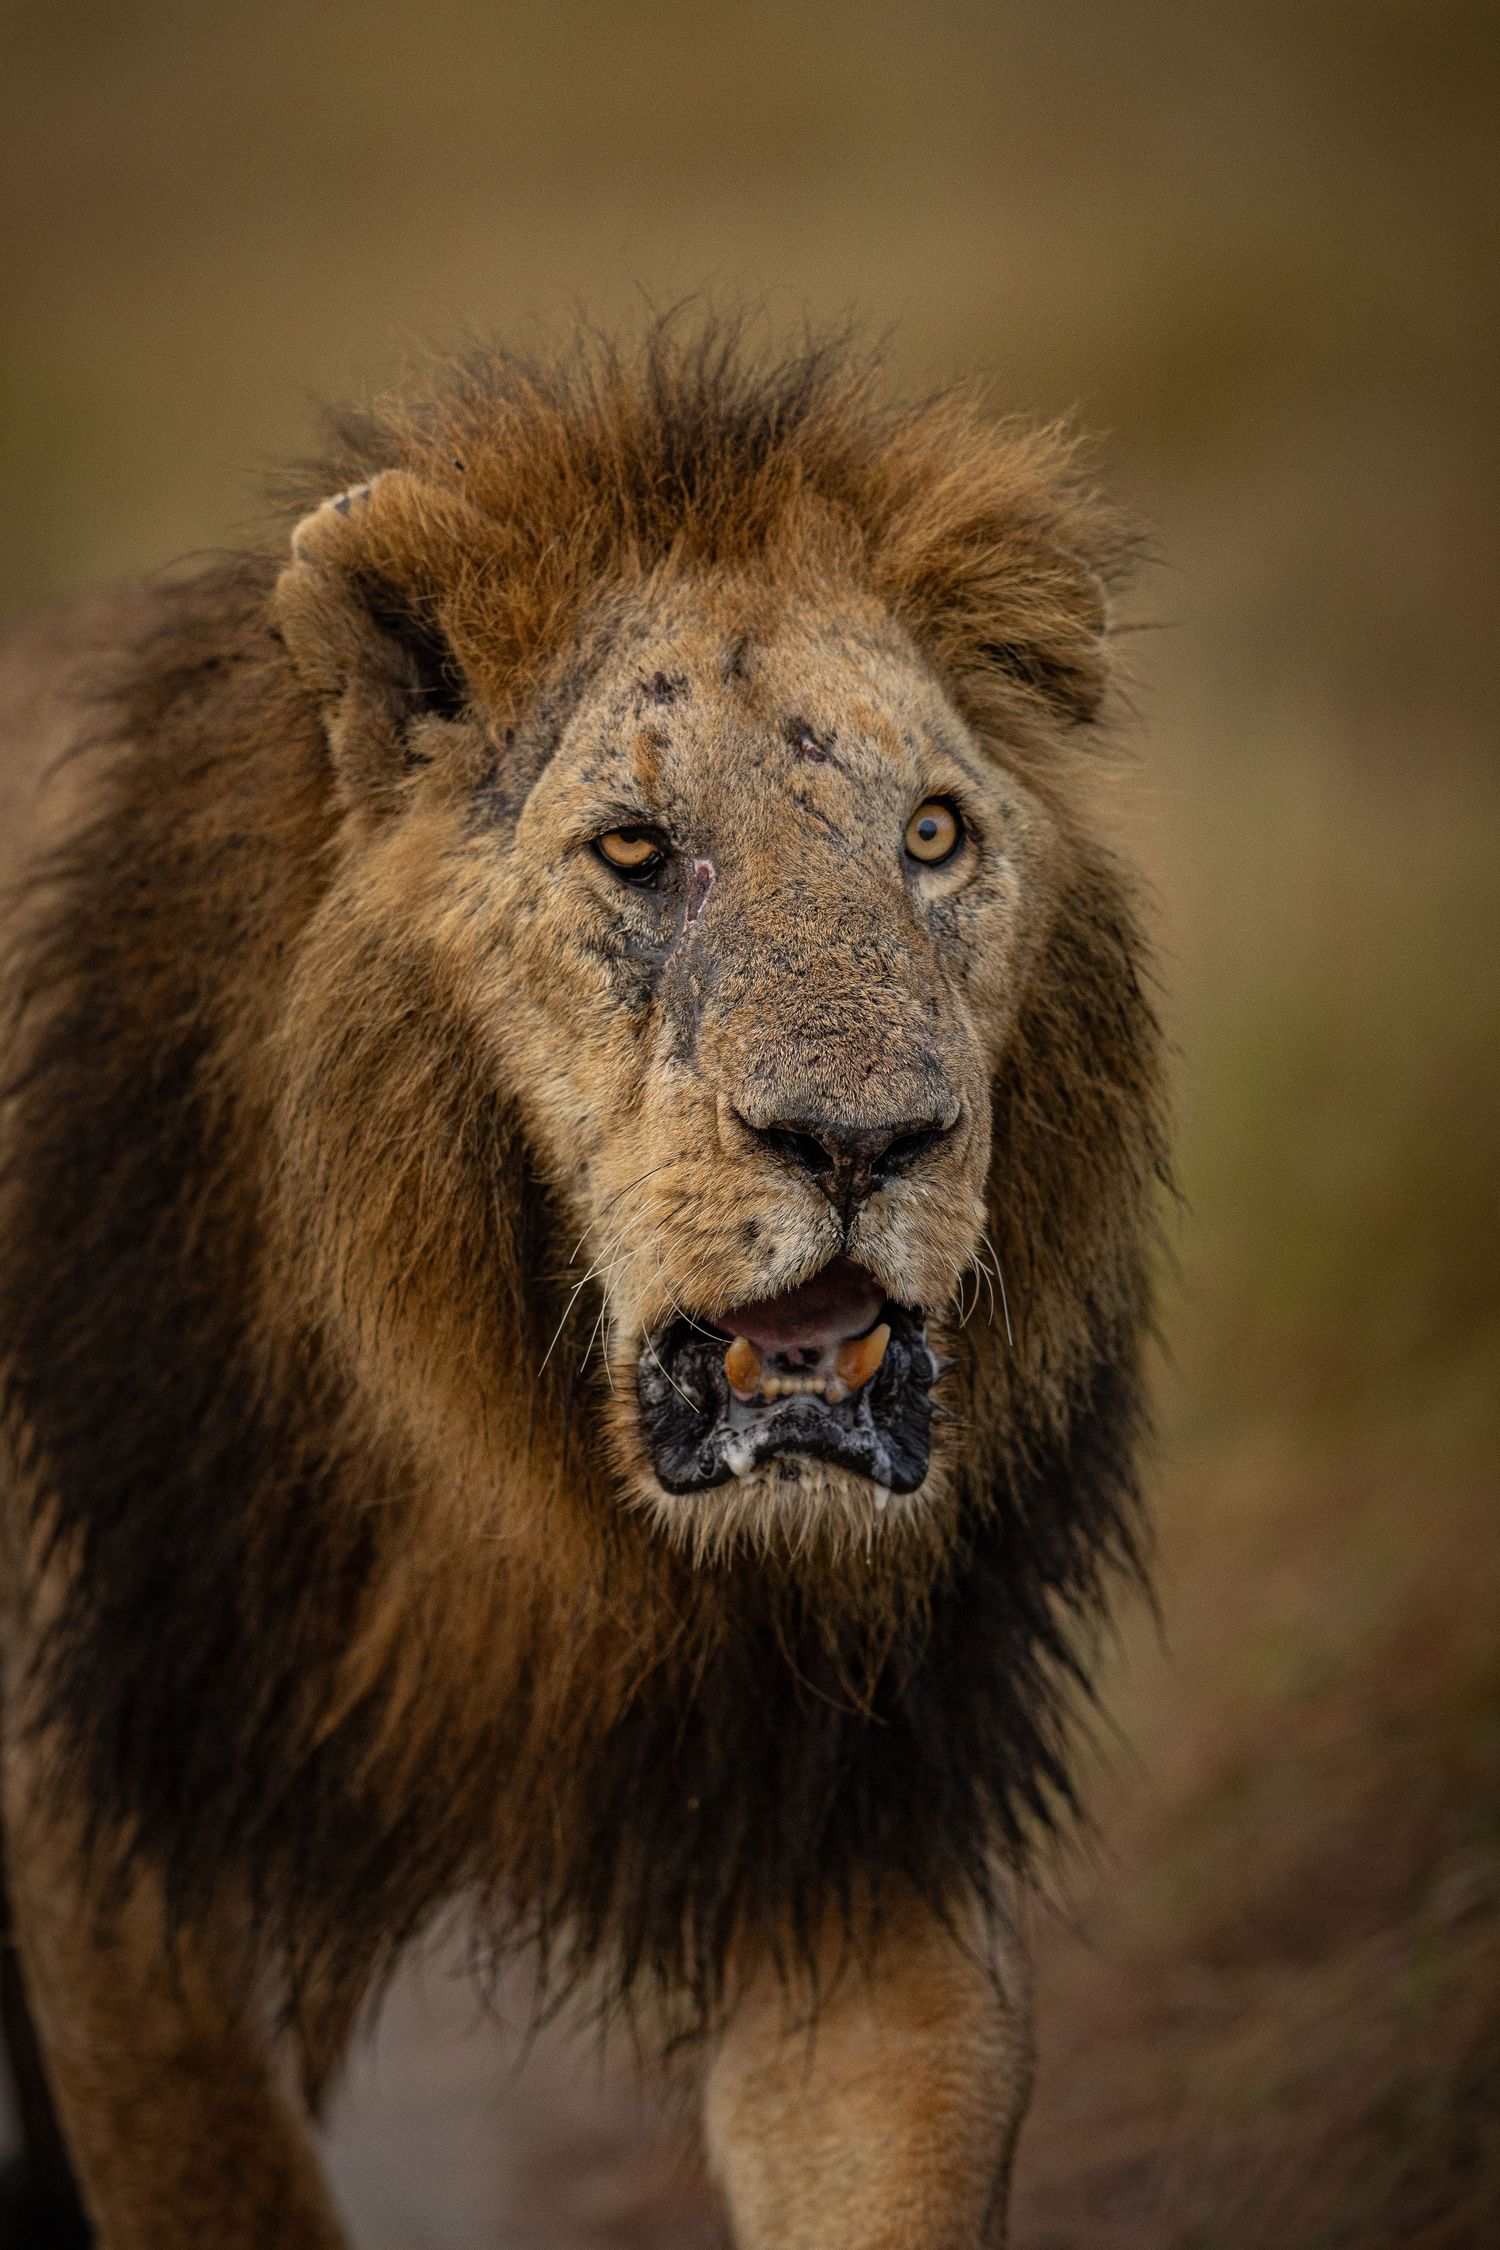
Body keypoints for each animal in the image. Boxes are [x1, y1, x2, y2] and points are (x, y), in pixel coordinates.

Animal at [0, 323, 1165, 2248]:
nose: (866, 1140)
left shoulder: (856, 1825)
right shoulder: (100, 1832)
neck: (513, 1485)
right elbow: (216, 2184)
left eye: (932, 837)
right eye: (634, 849)